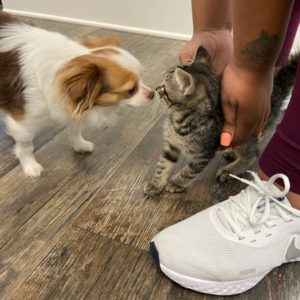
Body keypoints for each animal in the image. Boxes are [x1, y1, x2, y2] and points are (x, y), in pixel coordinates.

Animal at [0, 12, 155, 176]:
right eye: (131, 90)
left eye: (142, 78)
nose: (152, 93)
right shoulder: (26, 121)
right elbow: (26, 146)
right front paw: (30, 165)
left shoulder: (73, 106)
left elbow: (75, 129)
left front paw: (80, 144)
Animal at [144, 45, 296, 196]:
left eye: (164, 87)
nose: (155, 88)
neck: (179, 121)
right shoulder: (171, 145)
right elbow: (163, 164)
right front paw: (156, 184)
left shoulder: (204, 154)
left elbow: (188, 171)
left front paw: (176, 183)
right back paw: (231, 151)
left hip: (248, 135)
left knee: (252, 155)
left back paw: (228, 170)